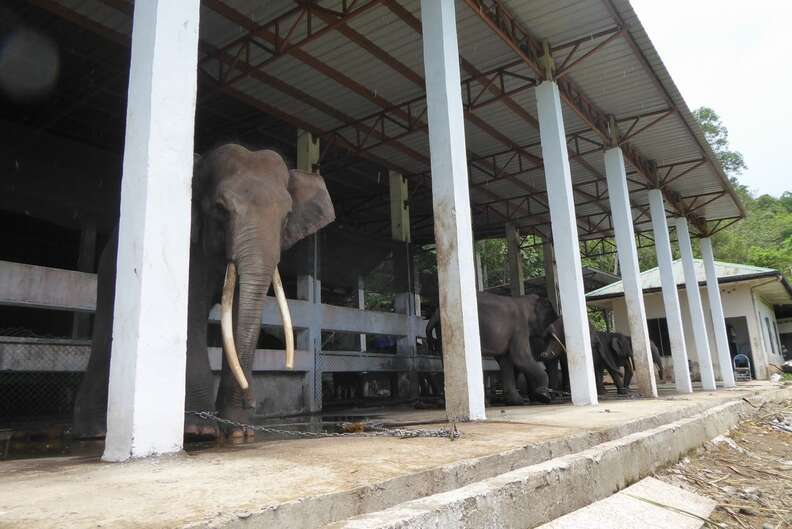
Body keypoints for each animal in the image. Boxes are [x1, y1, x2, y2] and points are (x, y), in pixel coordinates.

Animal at [69, 144, 338, 438]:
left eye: (287, 216)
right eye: (221, 208)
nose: (252, 401)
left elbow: (240, 314)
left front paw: (238, 432)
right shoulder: (189, 241)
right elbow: (191, 309)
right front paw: (200, 431)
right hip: (111, 270)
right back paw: (94, 431)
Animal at [426, 290, 556, 402]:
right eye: (550, 321)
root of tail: (436, 313)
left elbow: (506, 361)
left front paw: (519, 402)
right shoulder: (520, 326)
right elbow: (520, 358)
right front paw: (543, 396)